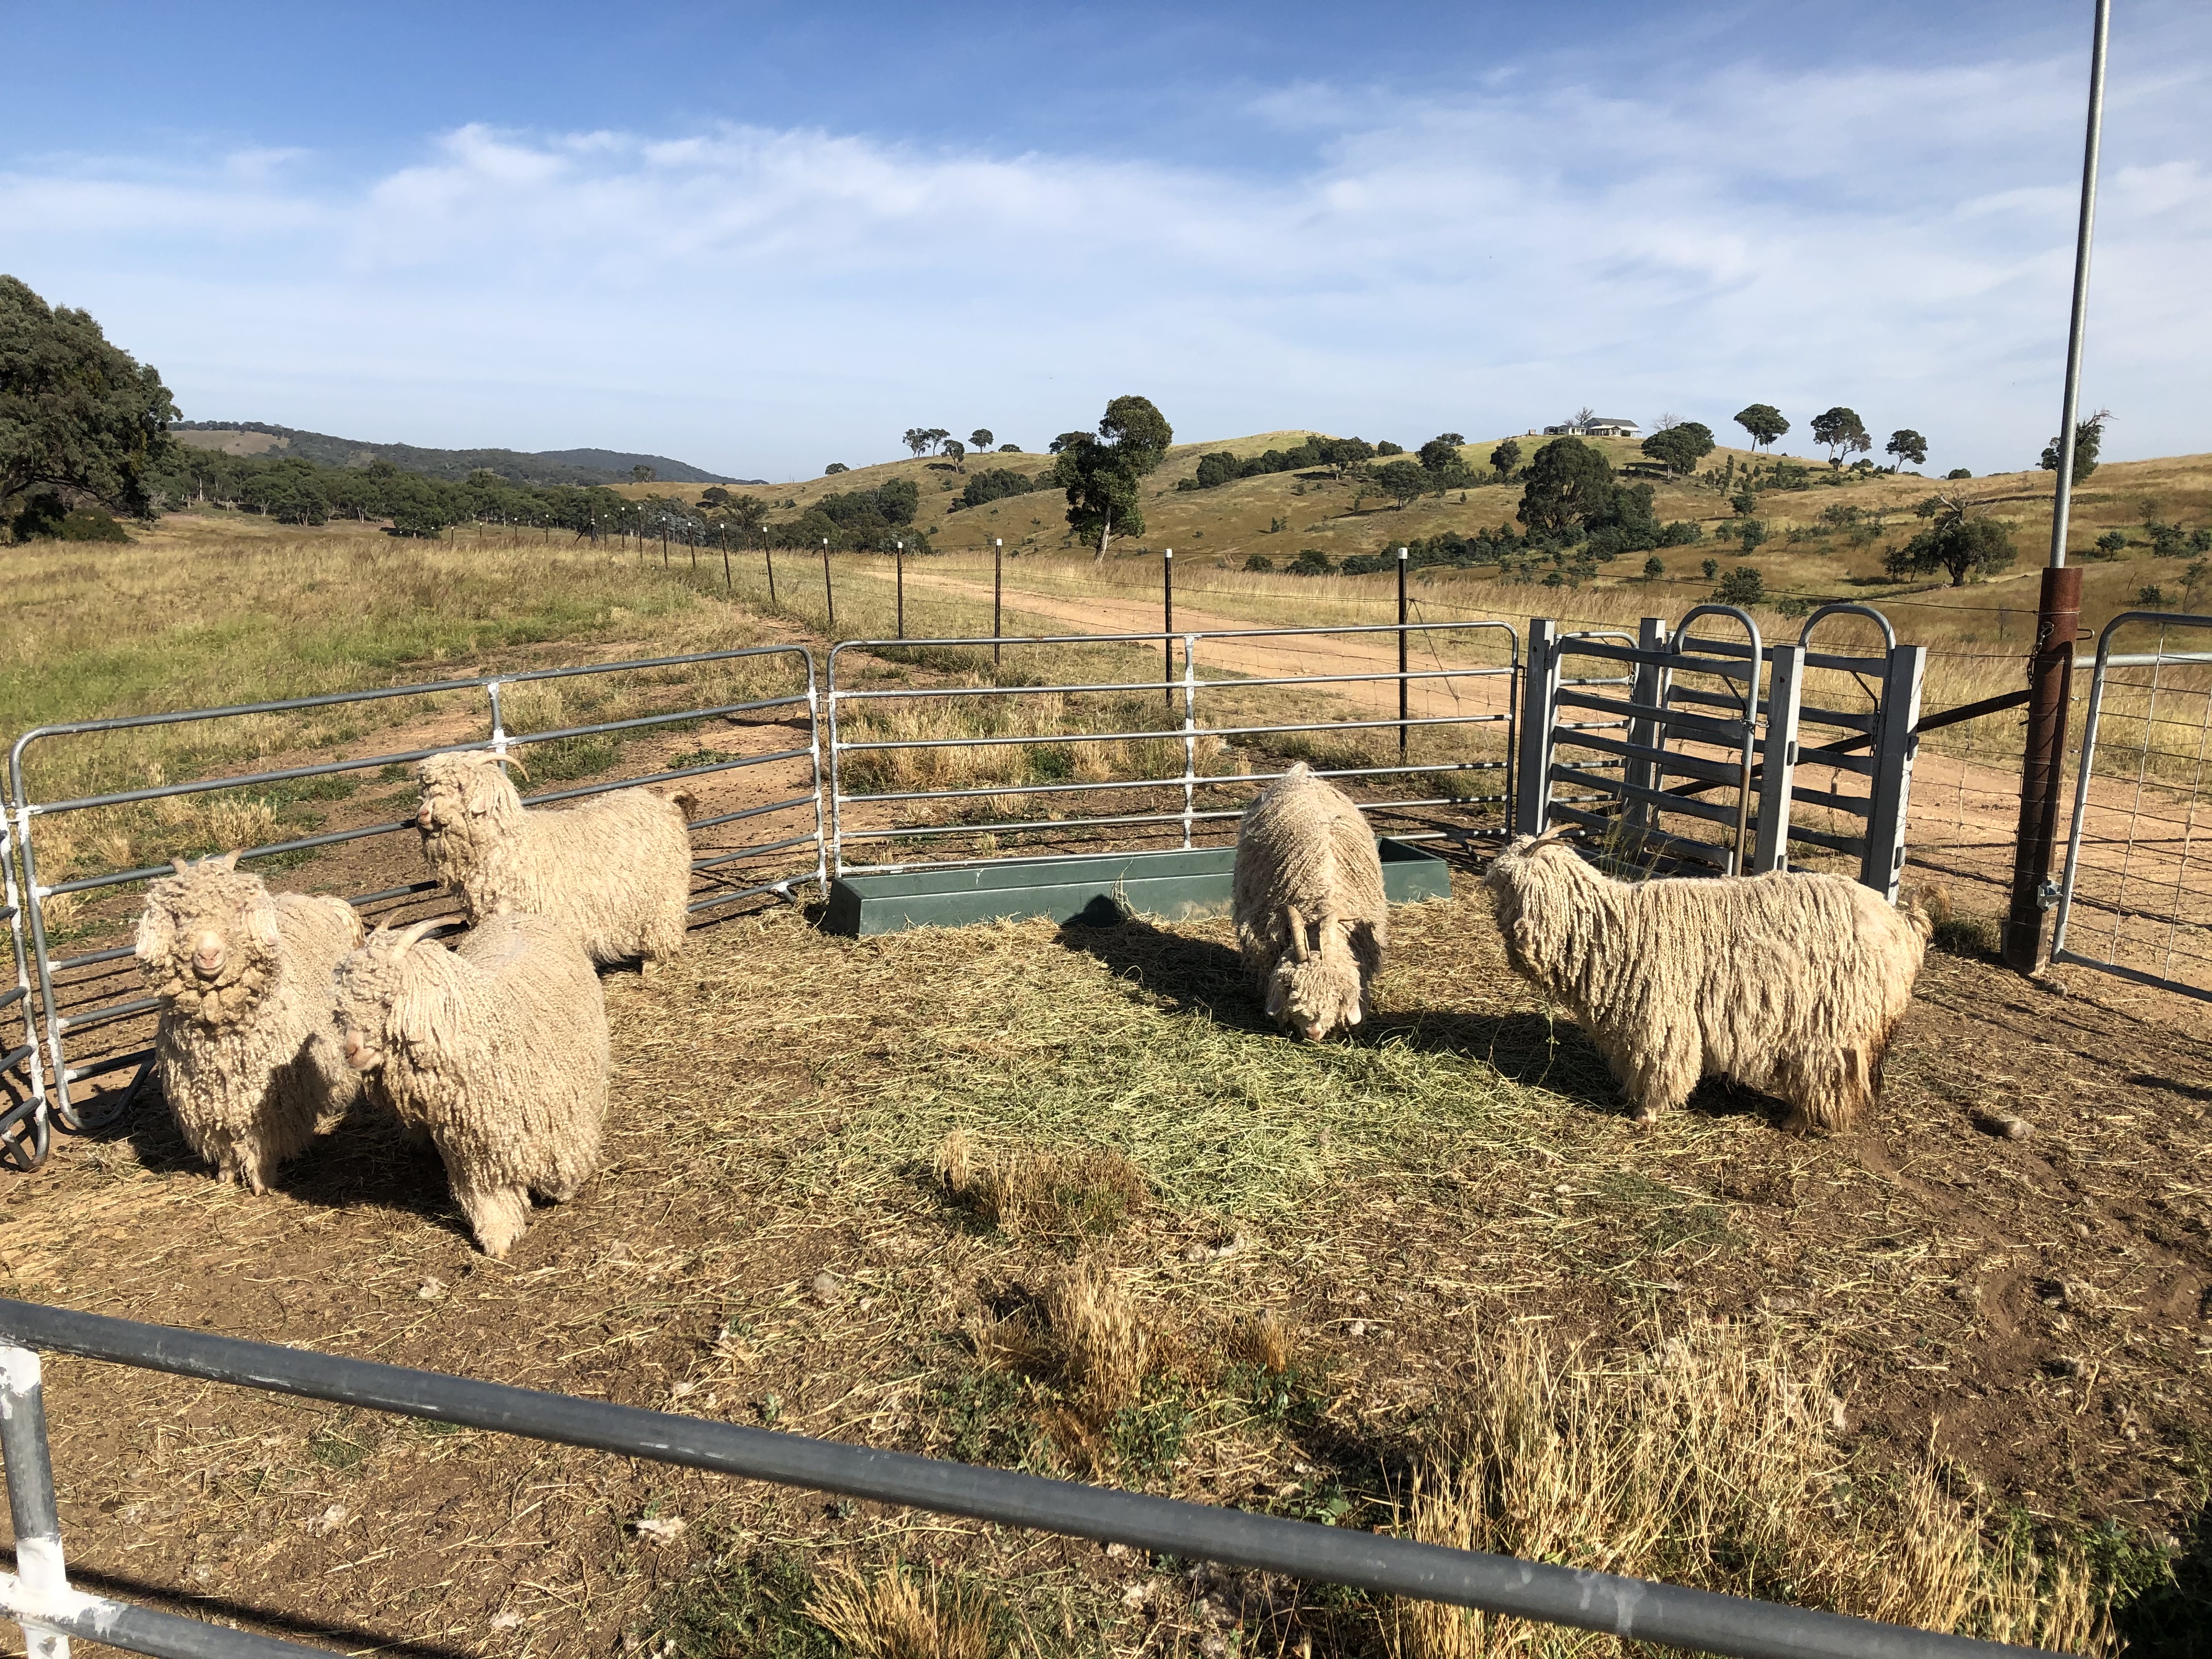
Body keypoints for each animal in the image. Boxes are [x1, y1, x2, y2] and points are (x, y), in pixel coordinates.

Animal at [134, 854, 368, 1191]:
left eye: (238, 910)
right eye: (179, 917)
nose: (207, 955)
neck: (222, 1033)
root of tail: (324, 901)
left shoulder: (271, 1095)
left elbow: (262, 1139)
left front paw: (262, 1178)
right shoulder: (206, 1095)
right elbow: (222, 1135)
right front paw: (226, 1175)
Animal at [333, 913, 608, 1259]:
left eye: (387, 1000)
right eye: (342, 1007)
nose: (350, 1052)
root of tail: (512, 915)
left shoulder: (559, 1114)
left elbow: (562, 1162)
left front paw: (563, 1189)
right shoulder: (469, 1143)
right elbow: (486, 1194)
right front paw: (498, 1238)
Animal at [412, 751, 695, 973]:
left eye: (460, 787)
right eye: (427, 791)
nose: (423, 815)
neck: (514, 847)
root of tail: (664, 802)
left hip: (666, 894)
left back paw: (653, 963)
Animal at [1483, 830, 1933, 1133]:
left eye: (1507, 887)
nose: (1503, 931)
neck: (1617, 927)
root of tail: (1901, 923)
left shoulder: (1664, 1016)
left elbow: (1664, 1065)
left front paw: (1645, 1114)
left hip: (1834, 1024)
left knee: (1830, 1076)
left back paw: (1797, 1121)